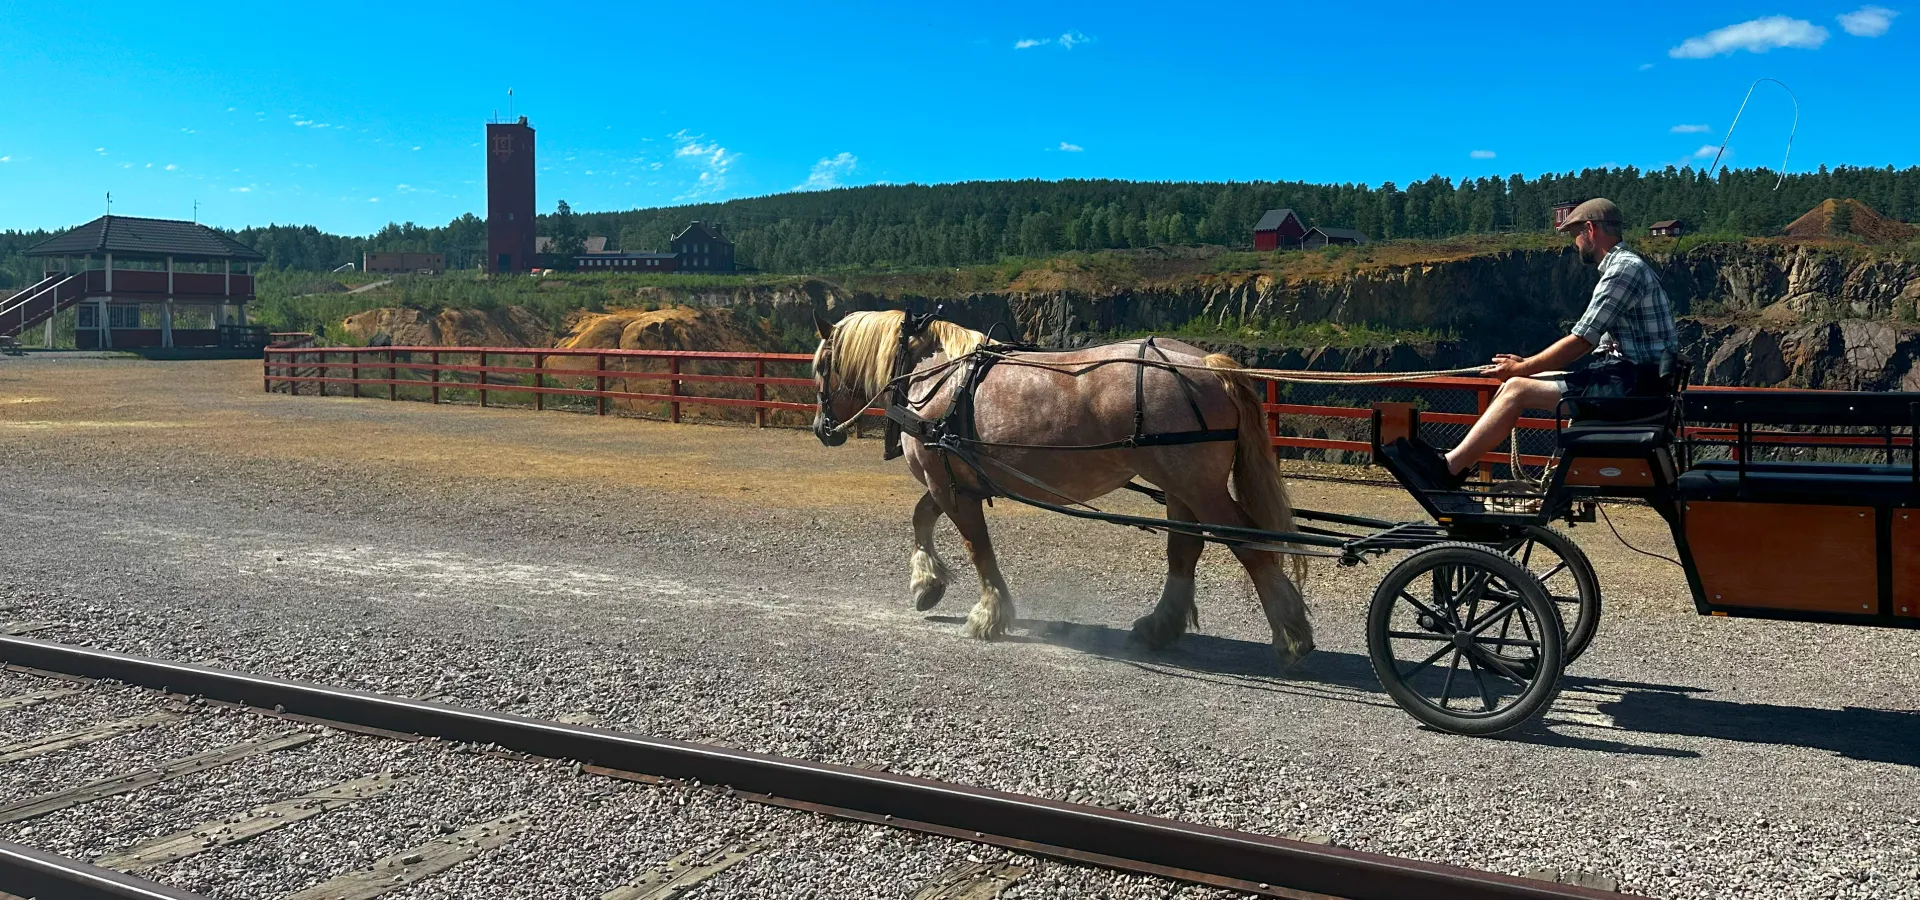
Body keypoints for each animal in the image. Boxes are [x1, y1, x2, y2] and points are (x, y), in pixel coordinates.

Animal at [802, 308, 1313, 667]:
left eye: (822, 366)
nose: (822, 429)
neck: (935, 374)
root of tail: (1205, 362)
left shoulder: (949, 482)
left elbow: (977, 546)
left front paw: (989, 613)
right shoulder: (953, 479)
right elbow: (922, 517)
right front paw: (927, 584)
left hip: (1198, 486)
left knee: (1249, 545)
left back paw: (1290, 633)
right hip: (1180, 488)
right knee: (1185, 549)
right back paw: (1159, 626)